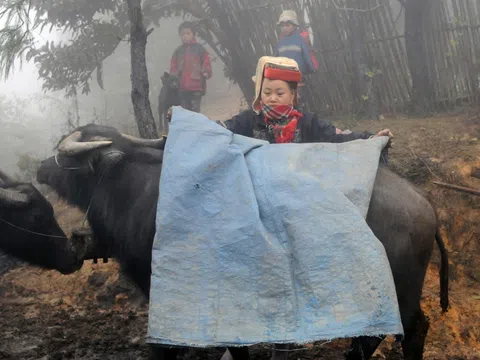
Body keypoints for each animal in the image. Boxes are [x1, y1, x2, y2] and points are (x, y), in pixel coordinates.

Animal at [37, 124, 450, 360]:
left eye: (61, 153)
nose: (39, 167)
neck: (136, 190)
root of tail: (424, 202)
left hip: (396, 291)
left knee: (406, 332)